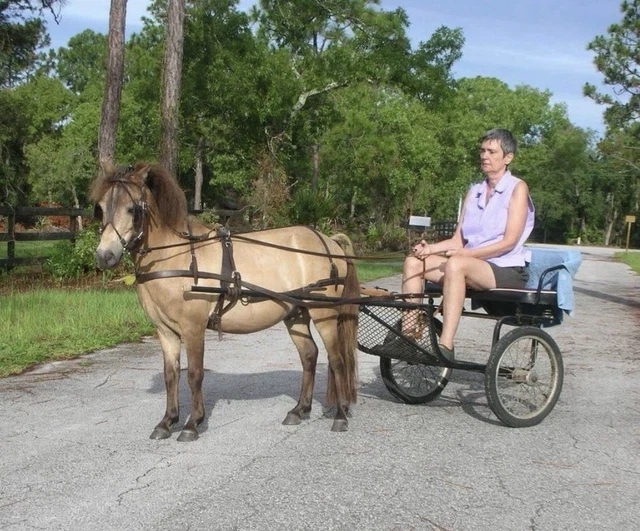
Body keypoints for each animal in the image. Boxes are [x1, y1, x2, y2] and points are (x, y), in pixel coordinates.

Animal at [89, 163, 360, 441]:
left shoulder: (193, 327)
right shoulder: (165, 331)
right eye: (100, 208)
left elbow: (194, 374)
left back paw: (340, 415)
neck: (177, 256)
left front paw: (192, 424)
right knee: (309, 355)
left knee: (337, 360)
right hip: (296, 313)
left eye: (131, 209)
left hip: (324, 313)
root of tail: (329, 242)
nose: (104, 255)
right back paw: (299, 410)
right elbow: (171, 374)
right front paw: (167, 421)